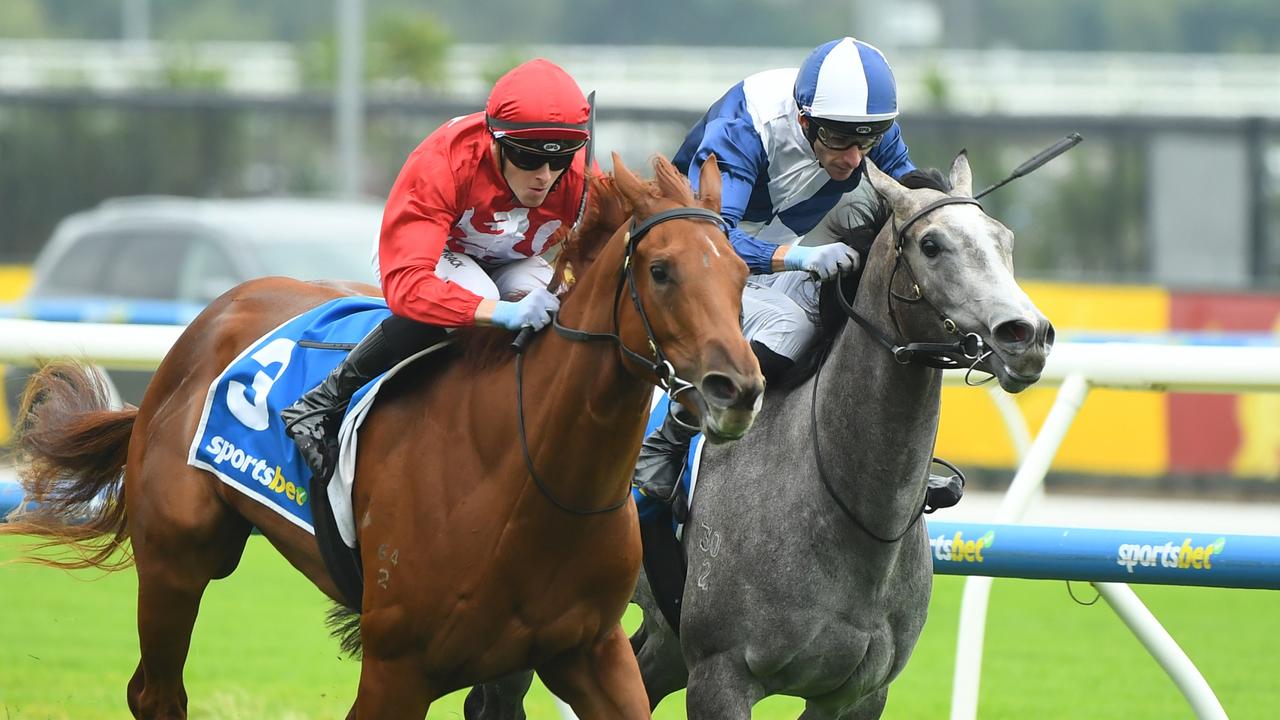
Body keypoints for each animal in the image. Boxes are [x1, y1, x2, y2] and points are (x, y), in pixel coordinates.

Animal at [2, 154, 757, 712]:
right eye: (660, 271)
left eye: (743, 271)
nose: (739, 389)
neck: (530, 479)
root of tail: (202, 326)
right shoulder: (399, 666)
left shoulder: (591, 652)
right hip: (176, 559)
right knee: (156, 692)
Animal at [465, 152, 1054, 717]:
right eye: (932, 245)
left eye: (1005, 239)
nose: (1028, 335)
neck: (849, 515)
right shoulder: (721, 675)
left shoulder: (858, 696)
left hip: (662, 641)